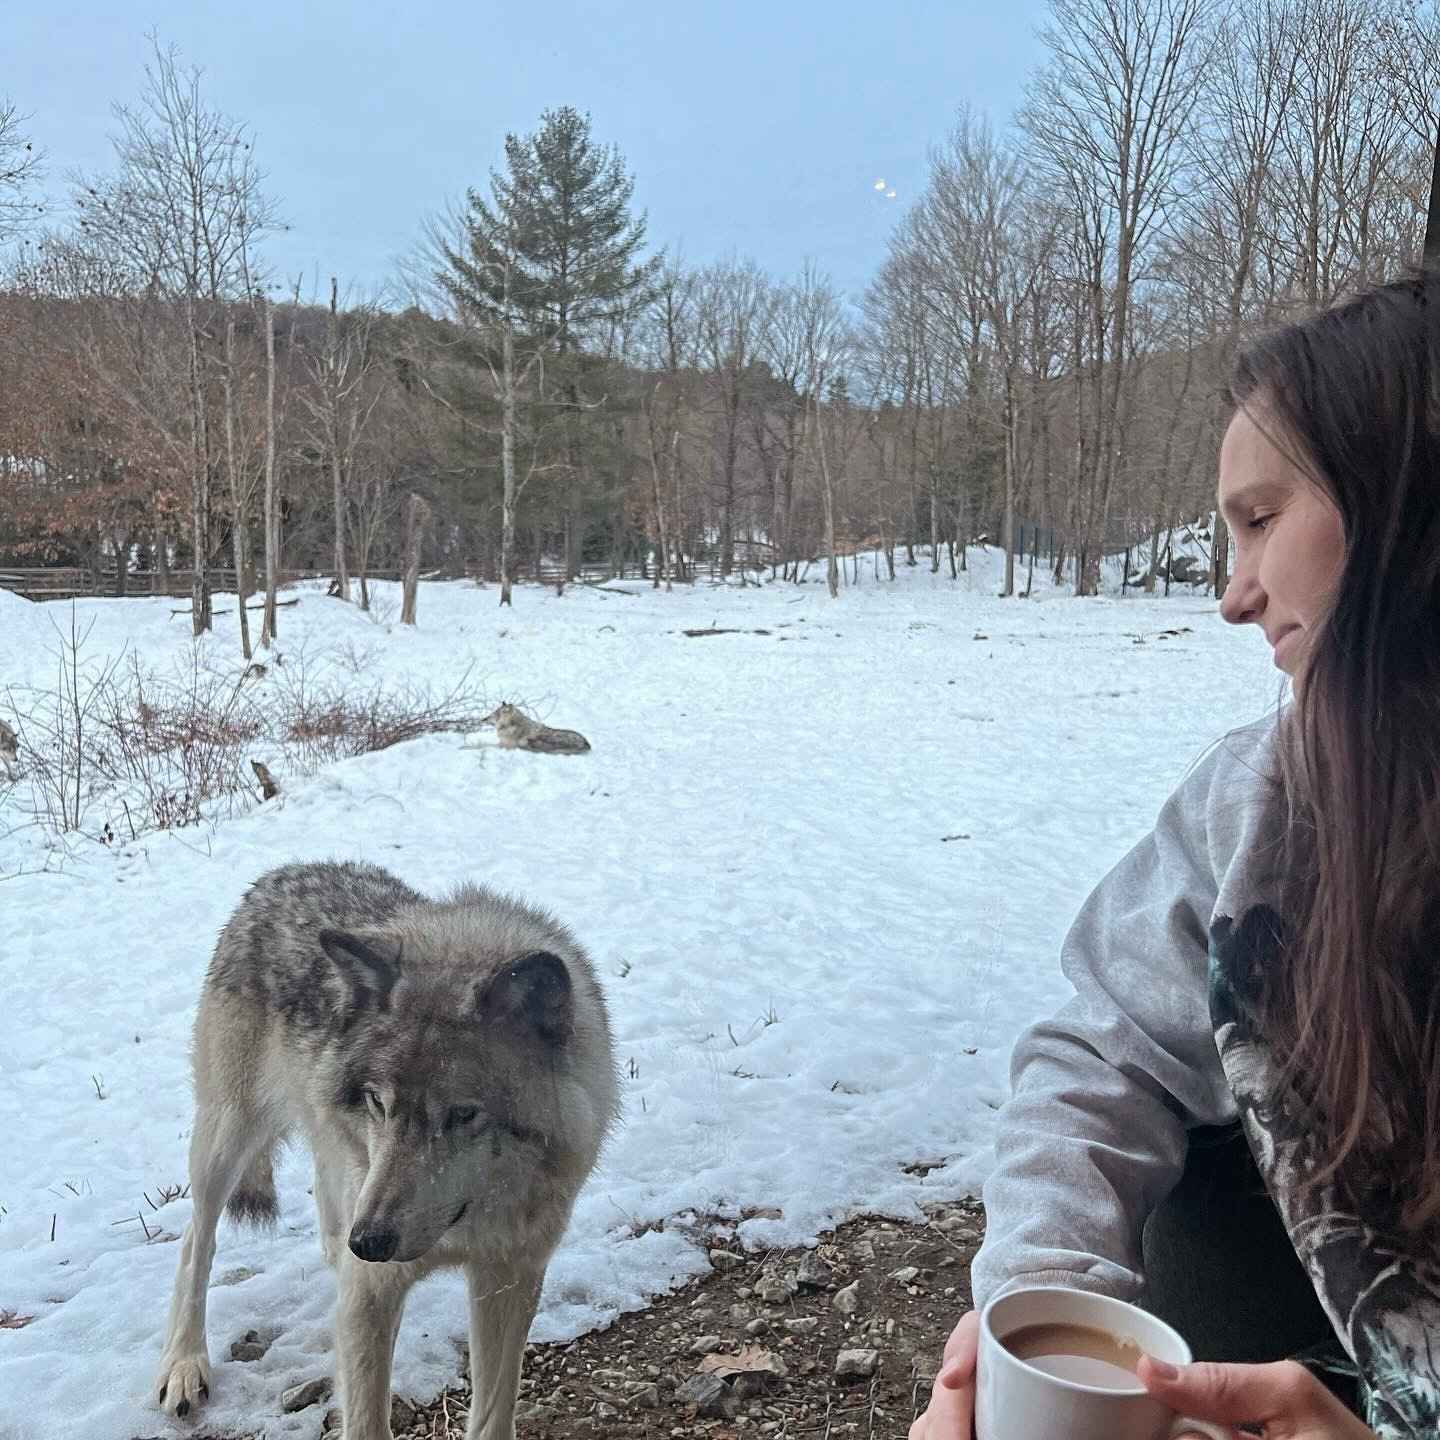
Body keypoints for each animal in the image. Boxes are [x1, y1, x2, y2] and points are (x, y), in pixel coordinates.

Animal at [156, 864, 619, 1440]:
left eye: (463, 1114)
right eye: (379, 1101)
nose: (370, 1242)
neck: (467, 1228)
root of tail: (282, 873)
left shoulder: (511, 1275)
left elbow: (493, 1413)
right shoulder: (370, 1296)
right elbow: (365, 1417)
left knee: (324, 1203)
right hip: (227, 1138)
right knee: (196, 1240)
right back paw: (183, 1365)